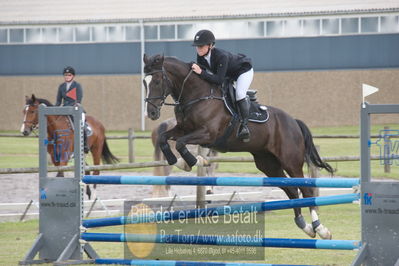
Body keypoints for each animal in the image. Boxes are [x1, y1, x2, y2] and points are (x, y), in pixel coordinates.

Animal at [143, 54, 334, 239]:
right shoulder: (183, 129)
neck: (197, 95)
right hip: (268, 164)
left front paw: (193, 161)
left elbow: (181, 143)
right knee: (292, 190)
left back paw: (321, 229)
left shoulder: (208, 134)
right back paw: (305, 226)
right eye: (144, 82)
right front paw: (181, 162)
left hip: (290, 161)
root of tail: (293, 121)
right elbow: (164, 139)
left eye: (157, 81)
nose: (151, 113)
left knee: (306, 189)